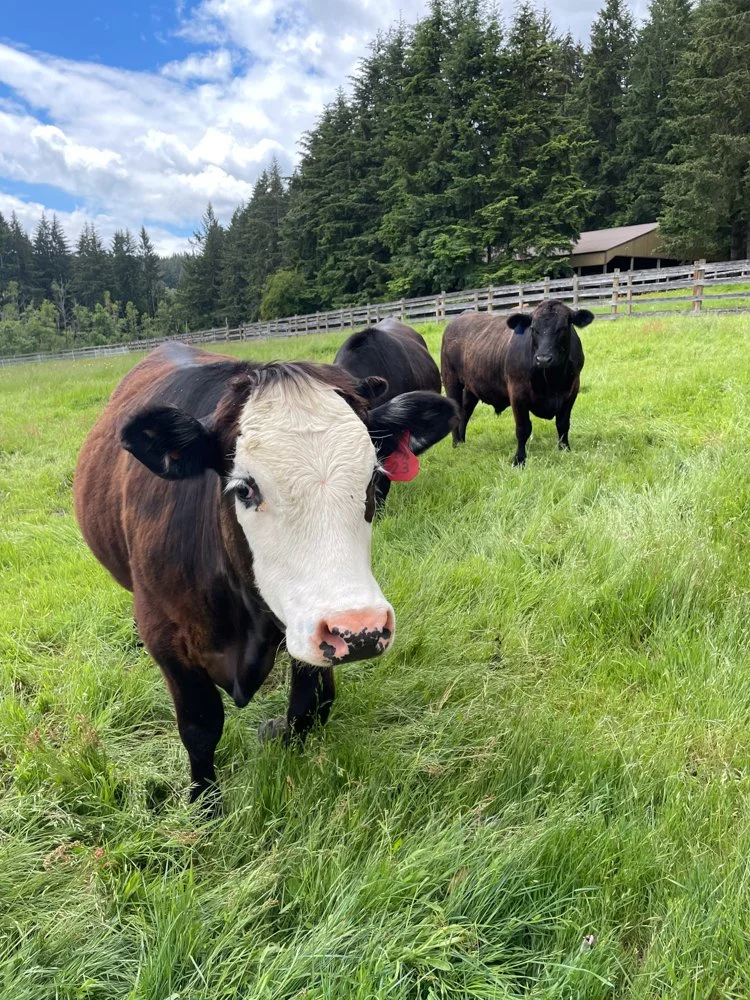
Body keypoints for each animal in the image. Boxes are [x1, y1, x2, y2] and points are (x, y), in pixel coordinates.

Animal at [74, 343, 457, 804]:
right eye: (245, 488)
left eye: (373, 479)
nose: (360, 630)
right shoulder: (166, 639)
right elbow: (200, 726)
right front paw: (204, 803)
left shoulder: (304, 626)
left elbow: (311, 703)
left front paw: (278, 736)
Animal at [440, 300, 595, 465]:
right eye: (533, 329)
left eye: (563, 328)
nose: (543, 359)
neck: (552, 380)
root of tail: (461, 316)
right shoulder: (517, 393)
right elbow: (523, 428)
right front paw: (519, 459)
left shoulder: (571, 391)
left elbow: (563, 424)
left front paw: (565, 449)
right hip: (451, 380)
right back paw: (456, 444)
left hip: (471, 387)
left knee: (465, 411)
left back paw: (462, 442)